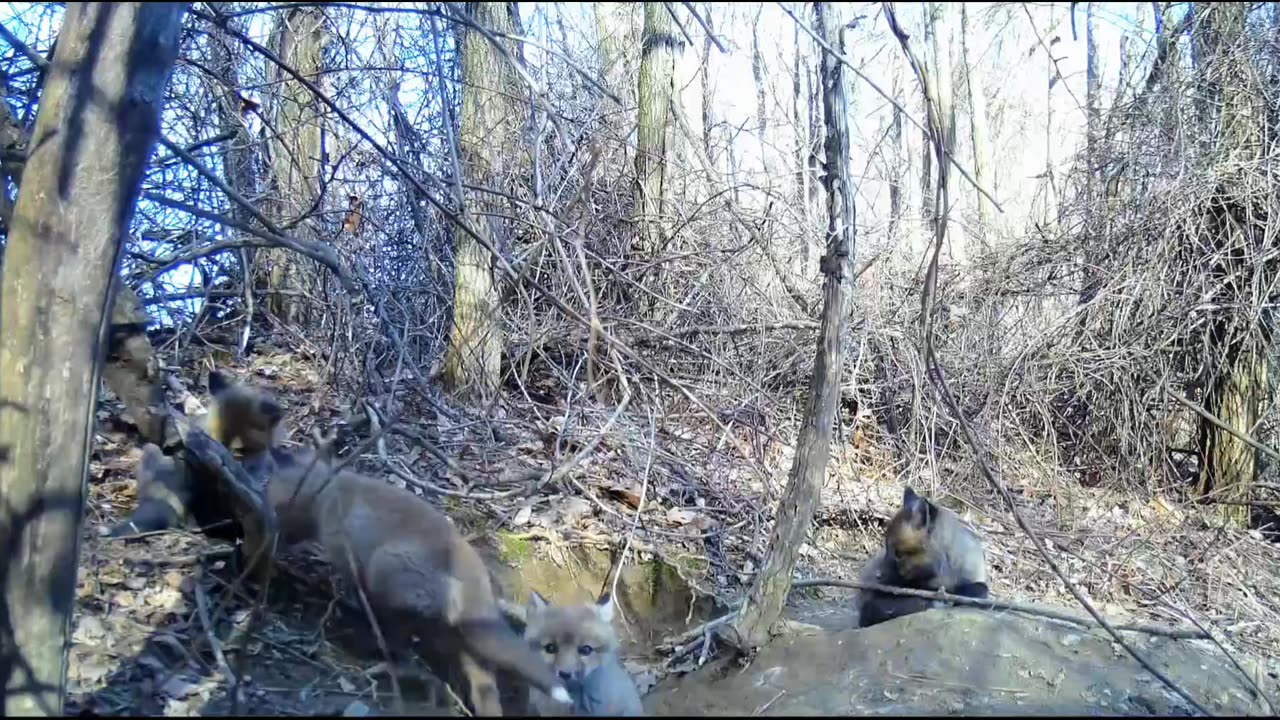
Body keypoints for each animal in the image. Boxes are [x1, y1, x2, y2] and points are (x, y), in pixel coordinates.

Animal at [264, 445, 572, 716]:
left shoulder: (349, 558)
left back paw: (383, 661)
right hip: (468, 646)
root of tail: (478, 596)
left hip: (388, 574)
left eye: (277, 502)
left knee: (401, 646)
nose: (272, 539)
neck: (330, 493)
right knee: (485, 693)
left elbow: (355, 587)